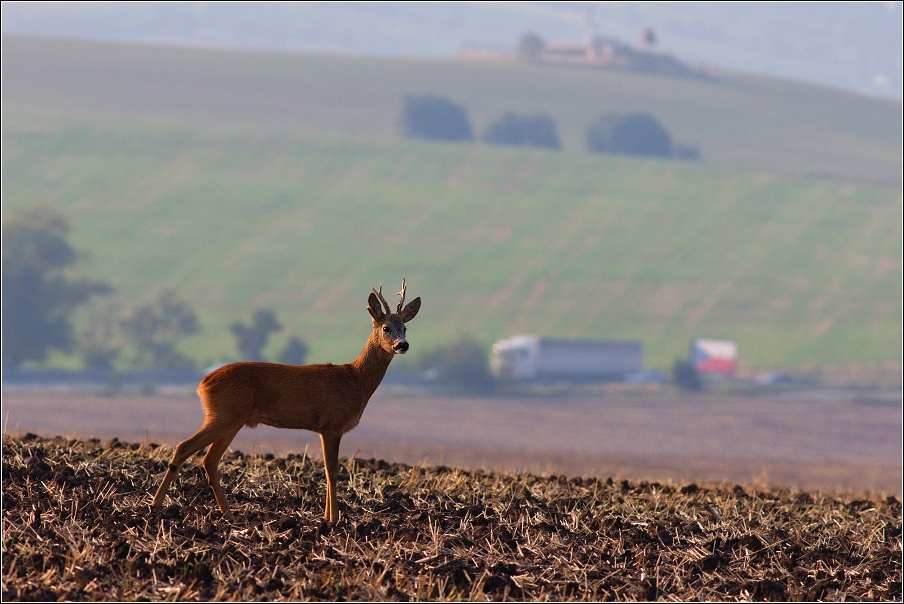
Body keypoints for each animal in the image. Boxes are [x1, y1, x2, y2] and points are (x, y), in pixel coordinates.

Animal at [151, 278, 420, 520]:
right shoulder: (331, 425)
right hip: (224, 415)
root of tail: (202, 384)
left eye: (405, 328)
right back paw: (155, 506)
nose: (403, 345)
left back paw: (228, 514)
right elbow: (332, 472)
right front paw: (333, 519)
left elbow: (327, 471)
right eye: (386, 327)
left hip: (232, 420)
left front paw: (327, 517)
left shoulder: (326, 428)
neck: (355, 380)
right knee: (184, 447)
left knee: (209, 460)